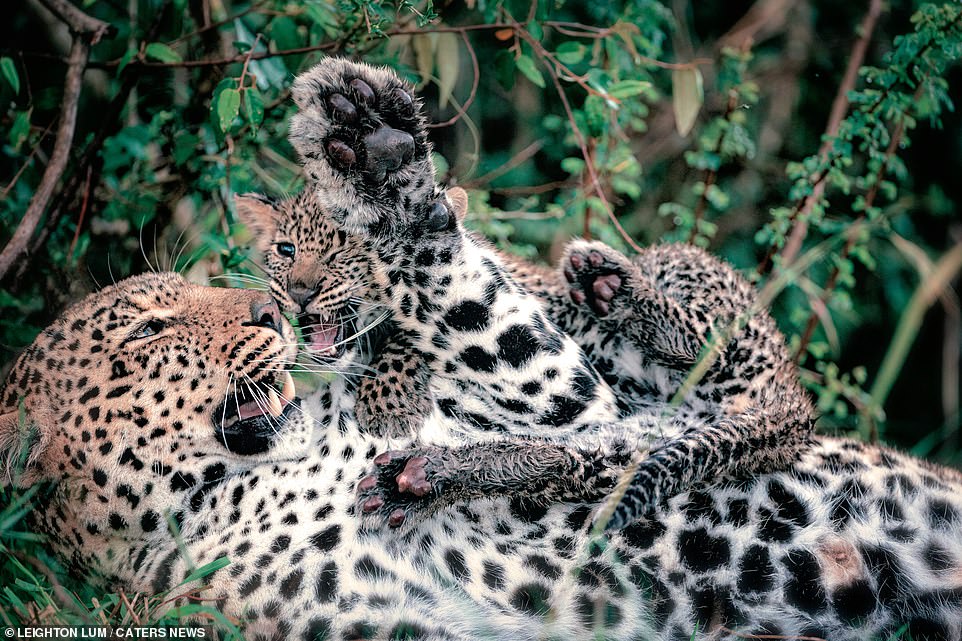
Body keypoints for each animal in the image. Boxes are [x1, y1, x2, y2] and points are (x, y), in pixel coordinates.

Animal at [262, 56, 814, 530]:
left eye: (342, 249)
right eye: (287, 250)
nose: (300, 291)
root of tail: (791, 395)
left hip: (676, 285)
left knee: (707, 341)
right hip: (616, 440)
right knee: (566, 459)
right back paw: (422, 478)